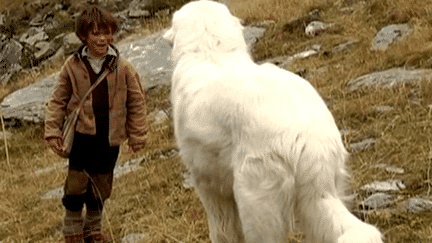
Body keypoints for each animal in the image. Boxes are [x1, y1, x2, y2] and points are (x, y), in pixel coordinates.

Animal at [164, 0, 384, 242]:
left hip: (256, 193)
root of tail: (309, 144)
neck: (212, 54)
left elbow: (222, 228)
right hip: (326, 192)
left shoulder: (207, 181)